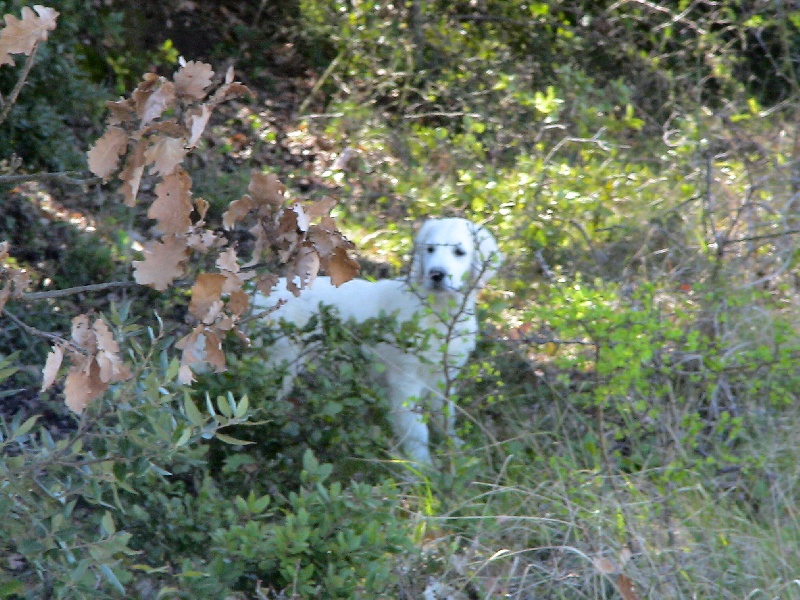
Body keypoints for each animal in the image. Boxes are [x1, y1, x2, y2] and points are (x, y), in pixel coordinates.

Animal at [256, 218, 500, 466]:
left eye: (459, 252)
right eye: (430, 249)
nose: (436, 274)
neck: (438, 309)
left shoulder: (444, 375)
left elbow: (445, 415)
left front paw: (456, 450)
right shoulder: (405, 378)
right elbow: (415, 429)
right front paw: (422, 465)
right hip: (278, 364)